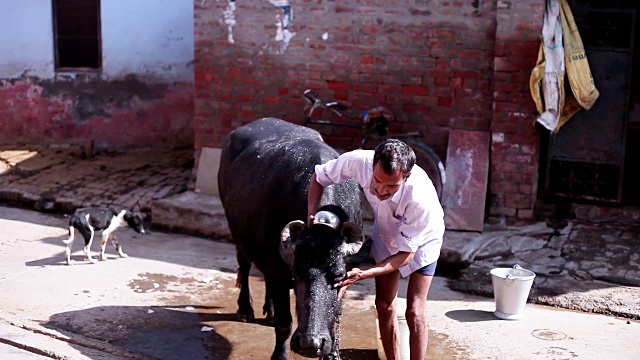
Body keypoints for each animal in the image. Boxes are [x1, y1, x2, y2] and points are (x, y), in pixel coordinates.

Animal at [218, 118, 364, 360]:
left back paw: (269, 312)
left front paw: (331, 354)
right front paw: (280, 355)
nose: (311, 343)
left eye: (337, 276)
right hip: (238, 235)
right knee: (245, 266)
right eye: (296, 274)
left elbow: (335, 317)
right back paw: (246, 309)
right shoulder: (279, 270)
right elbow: (284, 323)